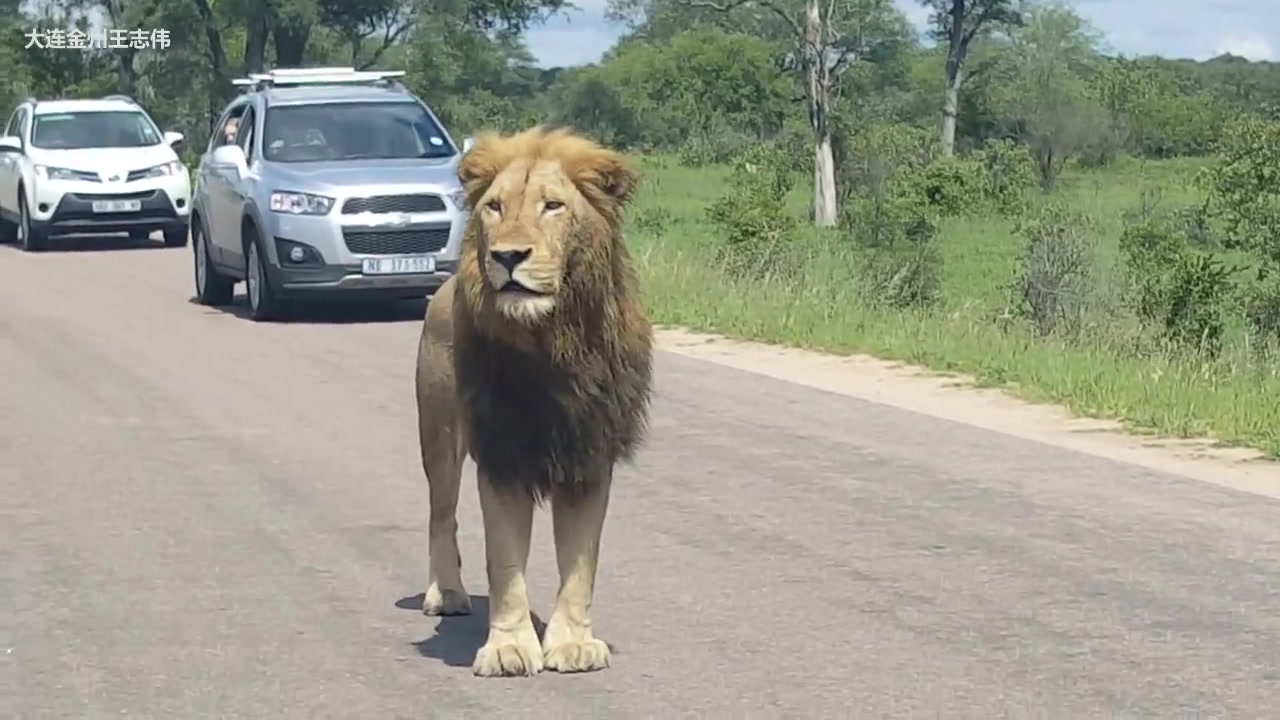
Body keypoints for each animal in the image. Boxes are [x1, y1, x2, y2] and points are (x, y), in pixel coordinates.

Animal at [412, 127, 650, 671]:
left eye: (553, 206)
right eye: (495, 207)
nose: (508, 256)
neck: (552, 346)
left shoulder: (589, 456)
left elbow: (581, 563)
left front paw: (573, 643)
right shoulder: (502, 456)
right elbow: (505, 564)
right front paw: (508, 648)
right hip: (439, 438)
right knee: (441, 515)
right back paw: (447, 594)